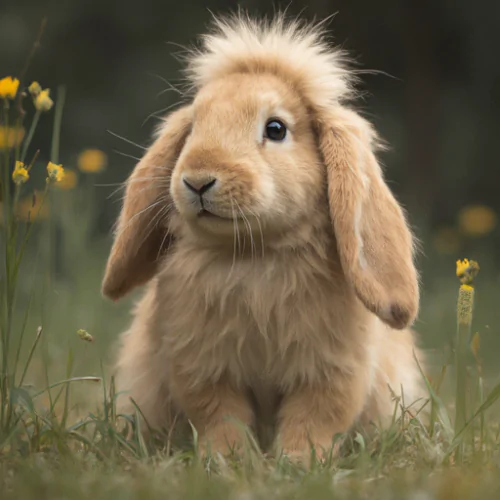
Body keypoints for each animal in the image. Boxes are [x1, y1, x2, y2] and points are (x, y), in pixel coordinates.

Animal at [100, 14, 426, 460]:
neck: (255, 254)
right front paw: (226, 461)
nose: (198, 180)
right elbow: (221, 417)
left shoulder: (331, 372)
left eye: (275, 128)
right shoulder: (203, 368)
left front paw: (299, 462)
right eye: (194, 127)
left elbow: (315, 419)